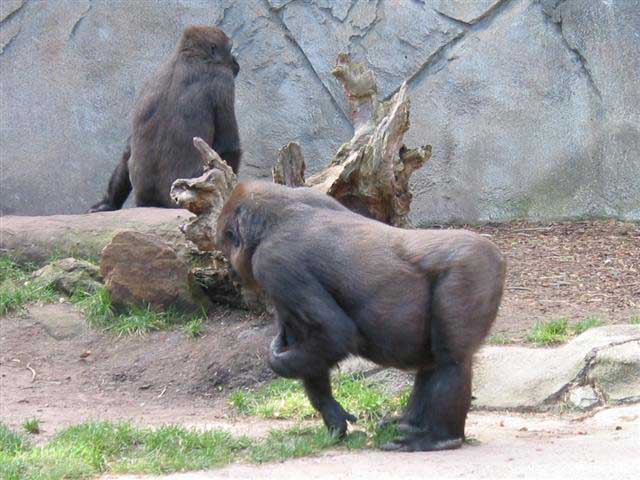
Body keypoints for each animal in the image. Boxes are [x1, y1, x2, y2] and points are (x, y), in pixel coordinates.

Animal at [89, 25, 241, 212]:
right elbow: (230, 145)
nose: (235, 60)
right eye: (230, 49)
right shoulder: (223, 79)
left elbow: (128, 147)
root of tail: (152, 203)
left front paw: (108, 201)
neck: (189, 54)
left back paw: (109, 203)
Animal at [216, 181, 506, 452]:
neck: (273, 220)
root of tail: (498, 255)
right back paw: (411, 424)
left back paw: (440, 438)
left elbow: (334, 333)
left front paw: (278, 361)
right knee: (432, 363)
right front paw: (331, 412)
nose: (230, 270)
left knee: (451, 359)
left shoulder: (273, 263)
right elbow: (314, 346)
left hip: (472, 268)